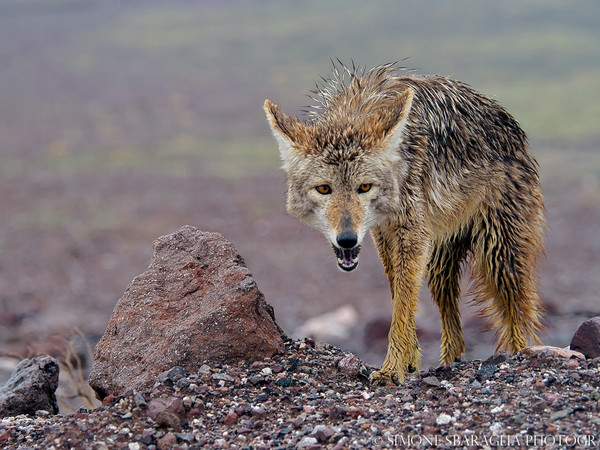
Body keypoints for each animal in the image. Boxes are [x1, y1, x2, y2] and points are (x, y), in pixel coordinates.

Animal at [262, 63, 544, 384]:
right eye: (324, 189)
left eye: (364, 187)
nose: (347, 239)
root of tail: (516, 130)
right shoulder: (383, 234)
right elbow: (399, 294)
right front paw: (409, 360)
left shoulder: (411, 234)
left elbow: (403, 302)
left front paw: (392, 368)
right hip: (439, 266)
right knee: (455, 331)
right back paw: (449, 360)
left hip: (499, 257)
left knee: (518, 313)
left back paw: (519, 353)